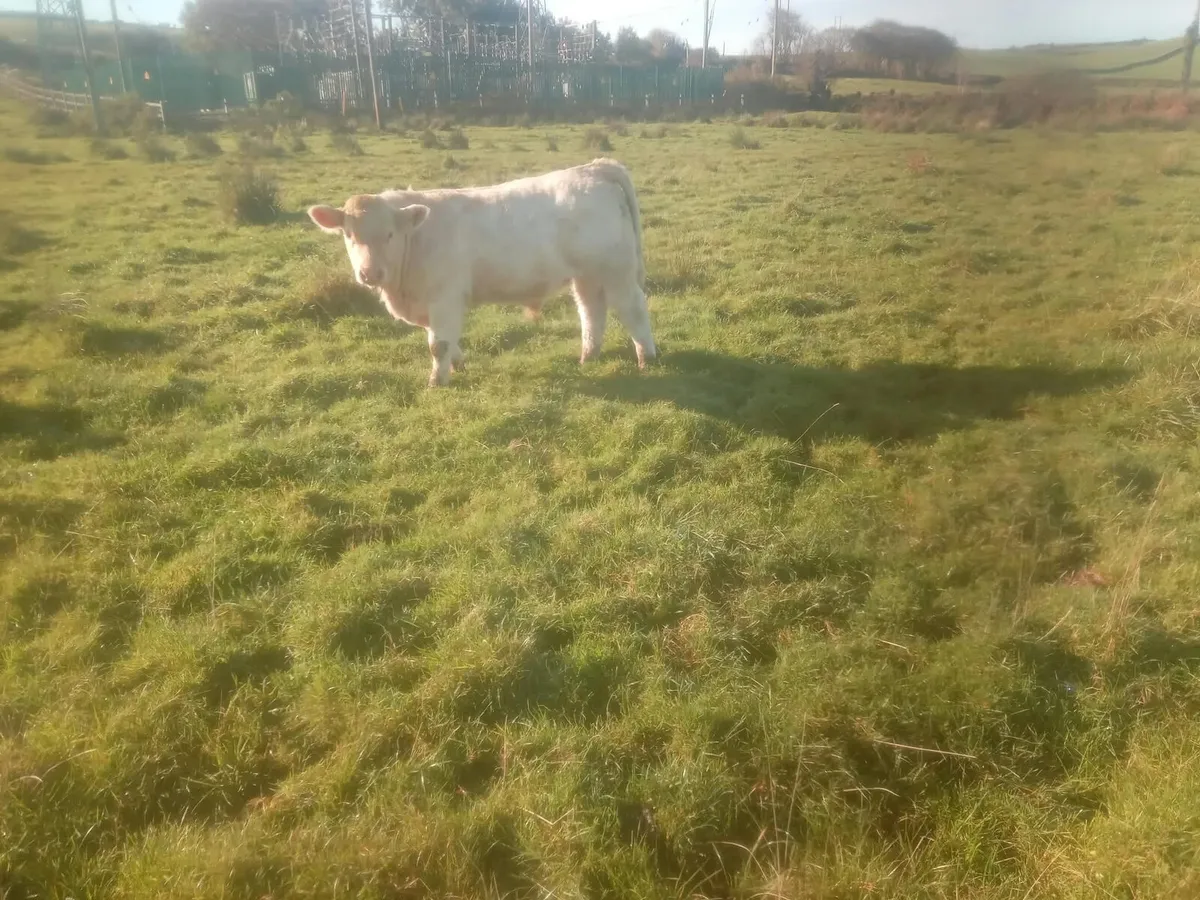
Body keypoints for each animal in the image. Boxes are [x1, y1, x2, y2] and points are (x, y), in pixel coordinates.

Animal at [307, 157, 658, 387]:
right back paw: (588, 356)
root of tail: (594, 168)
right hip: (587, 275)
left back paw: (647, 359)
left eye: (389, 235)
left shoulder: (444, 297)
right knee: (591, 311)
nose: (369, 274)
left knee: (633, 309)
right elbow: (442, 339)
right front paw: (458, 364)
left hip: (616, 270)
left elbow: (437, 344)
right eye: (349, 235)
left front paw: (437, 381)